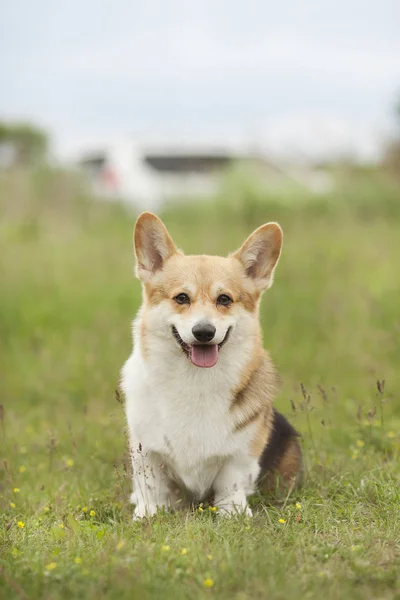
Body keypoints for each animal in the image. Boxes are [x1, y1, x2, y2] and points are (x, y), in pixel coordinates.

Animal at [120, 213, 302, 516]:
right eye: (182, 298)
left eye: (224, 299)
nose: (204, 332)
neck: (194, 379)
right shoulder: (146, 449)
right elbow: (152, 486)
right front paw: (148, 514)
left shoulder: (241, 452)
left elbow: (232, 482)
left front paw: (233, 514)